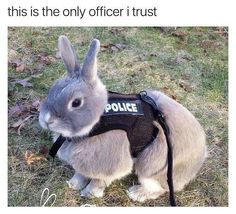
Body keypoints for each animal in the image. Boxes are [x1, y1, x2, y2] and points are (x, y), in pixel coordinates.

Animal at [39, 35, 206, 202]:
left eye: (76, 102)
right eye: (52, 90)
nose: (46, 120)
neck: (97, 122)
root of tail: (201, 155)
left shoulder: (108, 164)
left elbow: (98, 180)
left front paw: (90, 193)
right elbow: (81, 173)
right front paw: (73, 184)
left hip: (154, 166)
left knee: (158, 188)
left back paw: (136, 193)